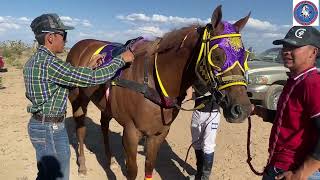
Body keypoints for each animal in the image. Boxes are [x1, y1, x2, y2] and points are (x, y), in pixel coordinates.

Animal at [67, 4, 252, 179]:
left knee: (104, 126)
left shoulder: (158, 134)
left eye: (244, 56)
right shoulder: (131, 133)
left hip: (106, 106)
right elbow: (132, 171)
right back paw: (82, 165)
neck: (151, 81)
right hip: (78, 100)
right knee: (81, 129)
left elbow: (149, 167)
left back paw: (109, 159)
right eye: (217, 56)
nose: (242, 109)